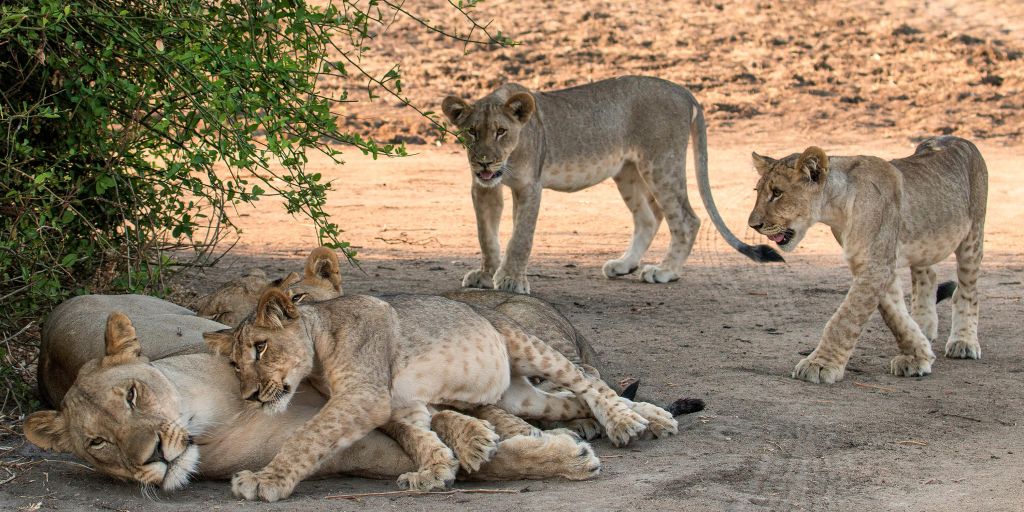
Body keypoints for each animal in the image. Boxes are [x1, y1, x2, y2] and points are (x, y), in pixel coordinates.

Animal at [24, 299, 602, 493]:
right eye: (96, 444)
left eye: (132, 394)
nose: (154, 457)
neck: (211, 417)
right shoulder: (363, 443)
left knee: (575, 376)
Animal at [202, 290, 675, 501]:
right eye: (235, 364)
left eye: (261, 348)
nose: (250, 396)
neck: (320, 341)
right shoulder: (398, 405)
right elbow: (417, 436)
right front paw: (435, 470)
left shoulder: (365, 397)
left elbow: (308, 437)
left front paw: (264, 480)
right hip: (519, 397)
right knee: (570, 400)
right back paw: (630, 420)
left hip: (525, 343)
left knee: (587, 379)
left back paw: (629, 421)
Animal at [440, 74, 782, 294]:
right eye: (471, 132)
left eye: (501, 131)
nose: (484, 162)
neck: (508, 159)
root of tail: (682, 90)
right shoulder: (484, 188)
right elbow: (487, 235)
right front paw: (486, 275)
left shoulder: (530, 187)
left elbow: (520, 237)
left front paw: (511, 280)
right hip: (628, 171)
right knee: (649, 218)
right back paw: (624, 265)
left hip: (661, 163)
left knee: (687, 219)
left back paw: (665, 271)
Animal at [749, 136, 987, 385]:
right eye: (757, 191)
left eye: (777, 192)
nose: (753, 225)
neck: (836, 208)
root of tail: (954, 138)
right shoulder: (871, 263)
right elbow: (895, 316)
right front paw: (916, 356)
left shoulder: (875, 265)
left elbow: (845, 318)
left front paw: (820, 364)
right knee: (927, 276)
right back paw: (924, 327)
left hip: (972, 237)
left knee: (967, 291)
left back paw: (964, 342)